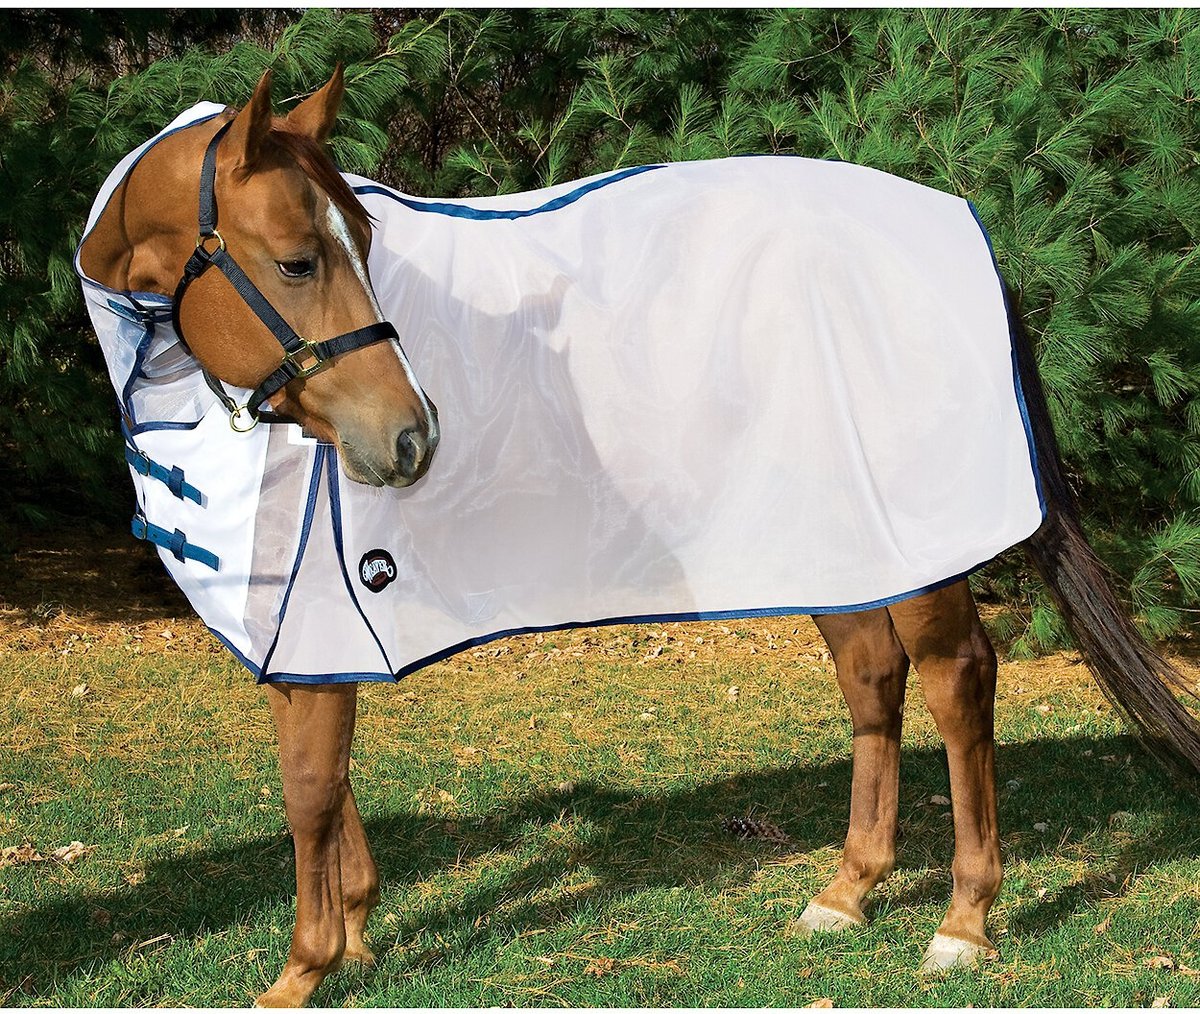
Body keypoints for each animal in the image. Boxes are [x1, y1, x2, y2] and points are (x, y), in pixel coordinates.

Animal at [76, 69, 1200, 1007]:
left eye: (348, 245)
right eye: (301, 257)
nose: (408, 437)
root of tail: (956, 225)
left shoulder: (319, 617)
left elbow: (309, 791)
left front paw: (304, 970)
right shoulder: (301, 631)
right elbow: (323, 782)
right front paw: (354, 931)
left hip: (917, 550)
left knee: (958, 681)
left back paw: (964, 923)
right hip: (833, 543)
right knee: (873, 682)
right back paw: (847, 892)